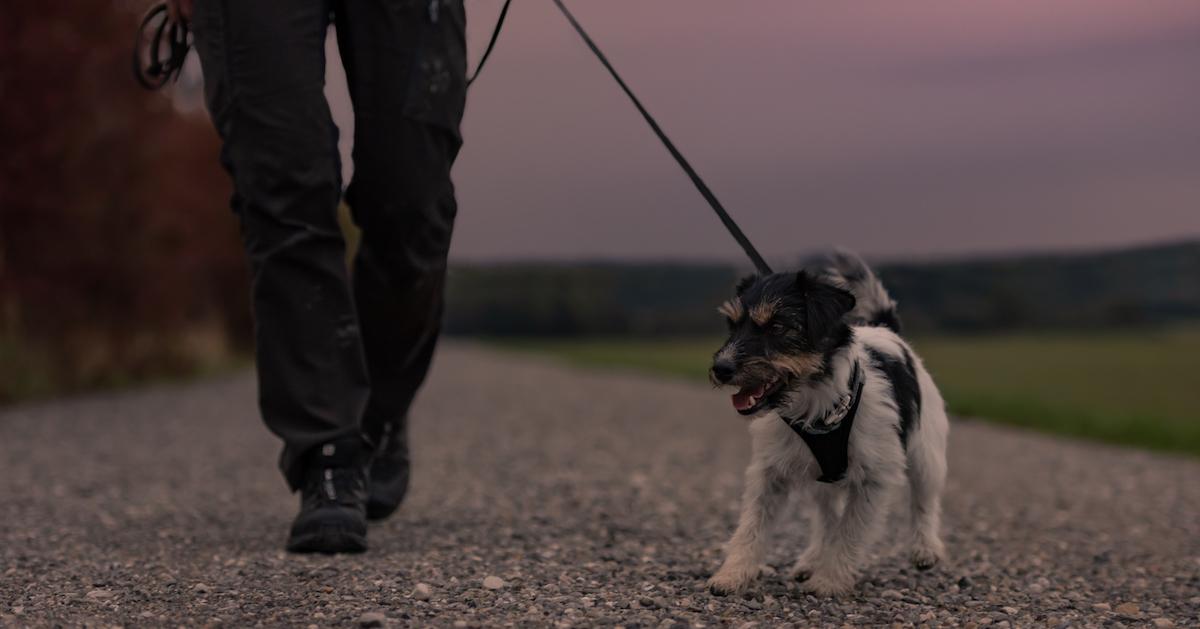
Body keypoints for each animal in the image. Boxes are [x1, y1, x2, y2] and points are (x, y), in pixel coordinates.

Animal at [700, 250, 945, 595]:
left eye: (777, 326)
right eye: (732, 324)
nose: (721, 369)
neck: (815, 403)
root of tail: (886, 328)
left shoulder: (874, 477)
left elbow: (850, 531)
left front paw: (829, 581)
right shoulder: (769, 473)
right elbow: (752, 525)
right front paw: (733, 574)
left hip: (926, 452)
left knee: (924, 499)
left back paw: (926, 549)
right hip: (821, 478)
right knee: (826, 518)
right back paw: (811, 560)